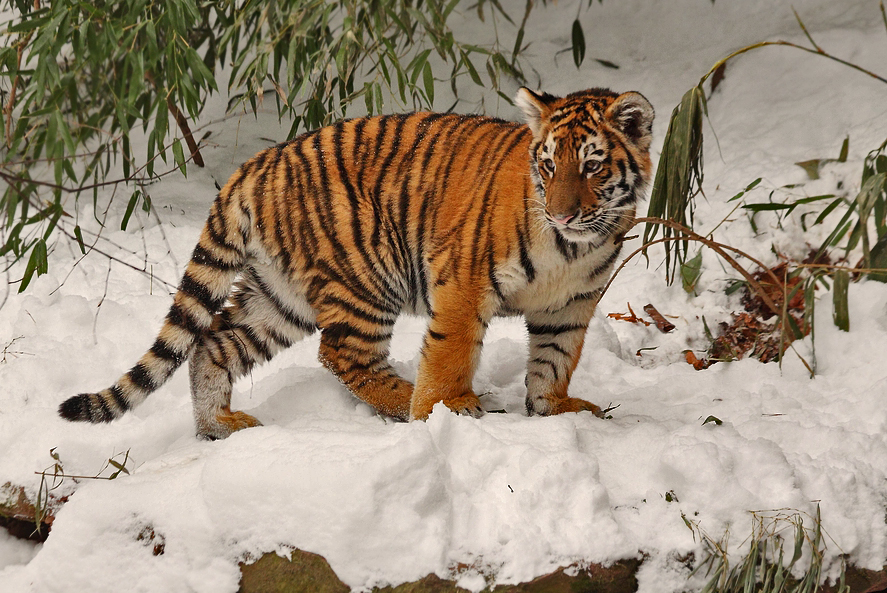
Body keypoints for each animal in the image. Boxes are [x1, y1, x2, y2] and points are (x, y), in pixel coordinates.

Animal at [55, 86, 652, 440]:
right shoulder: (463, 284)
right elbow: (450, 355)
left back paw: (219, 425)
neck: (574, 247)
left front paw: (556, 410)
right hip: (366, 276)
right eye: (548, 166)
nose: (562, 212)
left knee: (213, 341)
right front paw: (446, 412)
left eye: (592, 166)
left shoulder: (571, 304)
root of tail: (256, 163)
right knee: (343, 354)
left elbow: (556, 360)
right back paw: (407, 402)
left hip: (279, 298)